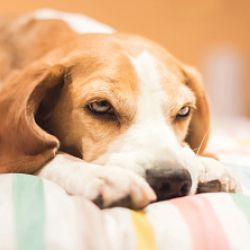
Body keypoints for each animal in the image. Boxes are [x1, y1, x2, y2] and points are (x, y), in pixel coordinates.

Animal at [0, 9, 242, 209]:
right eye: (101, 106)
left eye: (183, 111)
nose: (172, 180)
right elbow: (52, 152)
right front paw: (103, 176)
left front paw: (204, 165)